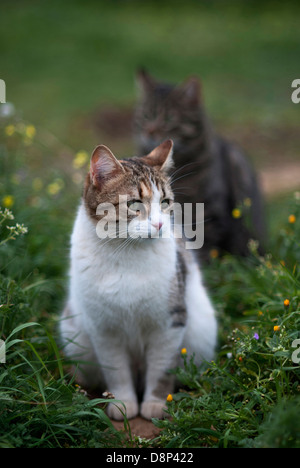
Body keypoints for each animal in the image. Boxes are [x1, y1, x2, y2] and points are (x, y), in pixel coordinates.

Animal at [59, 139, 217, 420]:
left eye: (165, 202)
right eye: (134, 204)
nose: (159, 225)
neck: (125, 253)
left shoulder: (170, 323)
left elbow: (161, 370)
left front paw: (155, 404)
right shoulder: (103, 328)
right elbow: (117, 372)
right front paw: (123, 404)